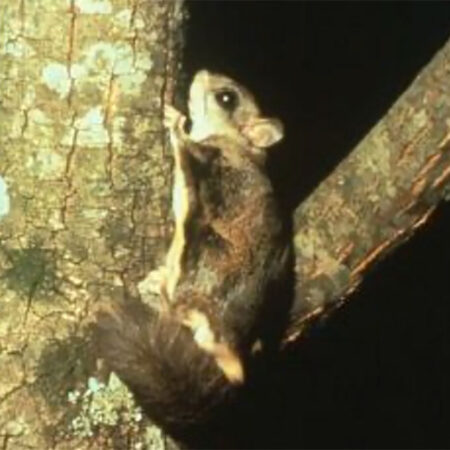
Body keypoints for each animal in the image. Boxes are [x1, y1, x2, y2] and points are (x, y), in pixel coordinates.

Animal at [94, 69, 292, 442]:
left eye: (227, 98)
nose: (203, 72)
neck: (235, 143)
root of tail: (231, 352)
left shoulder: (204, 159)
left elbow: (184, 146)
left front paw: (174, 121)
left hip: (201, 253)